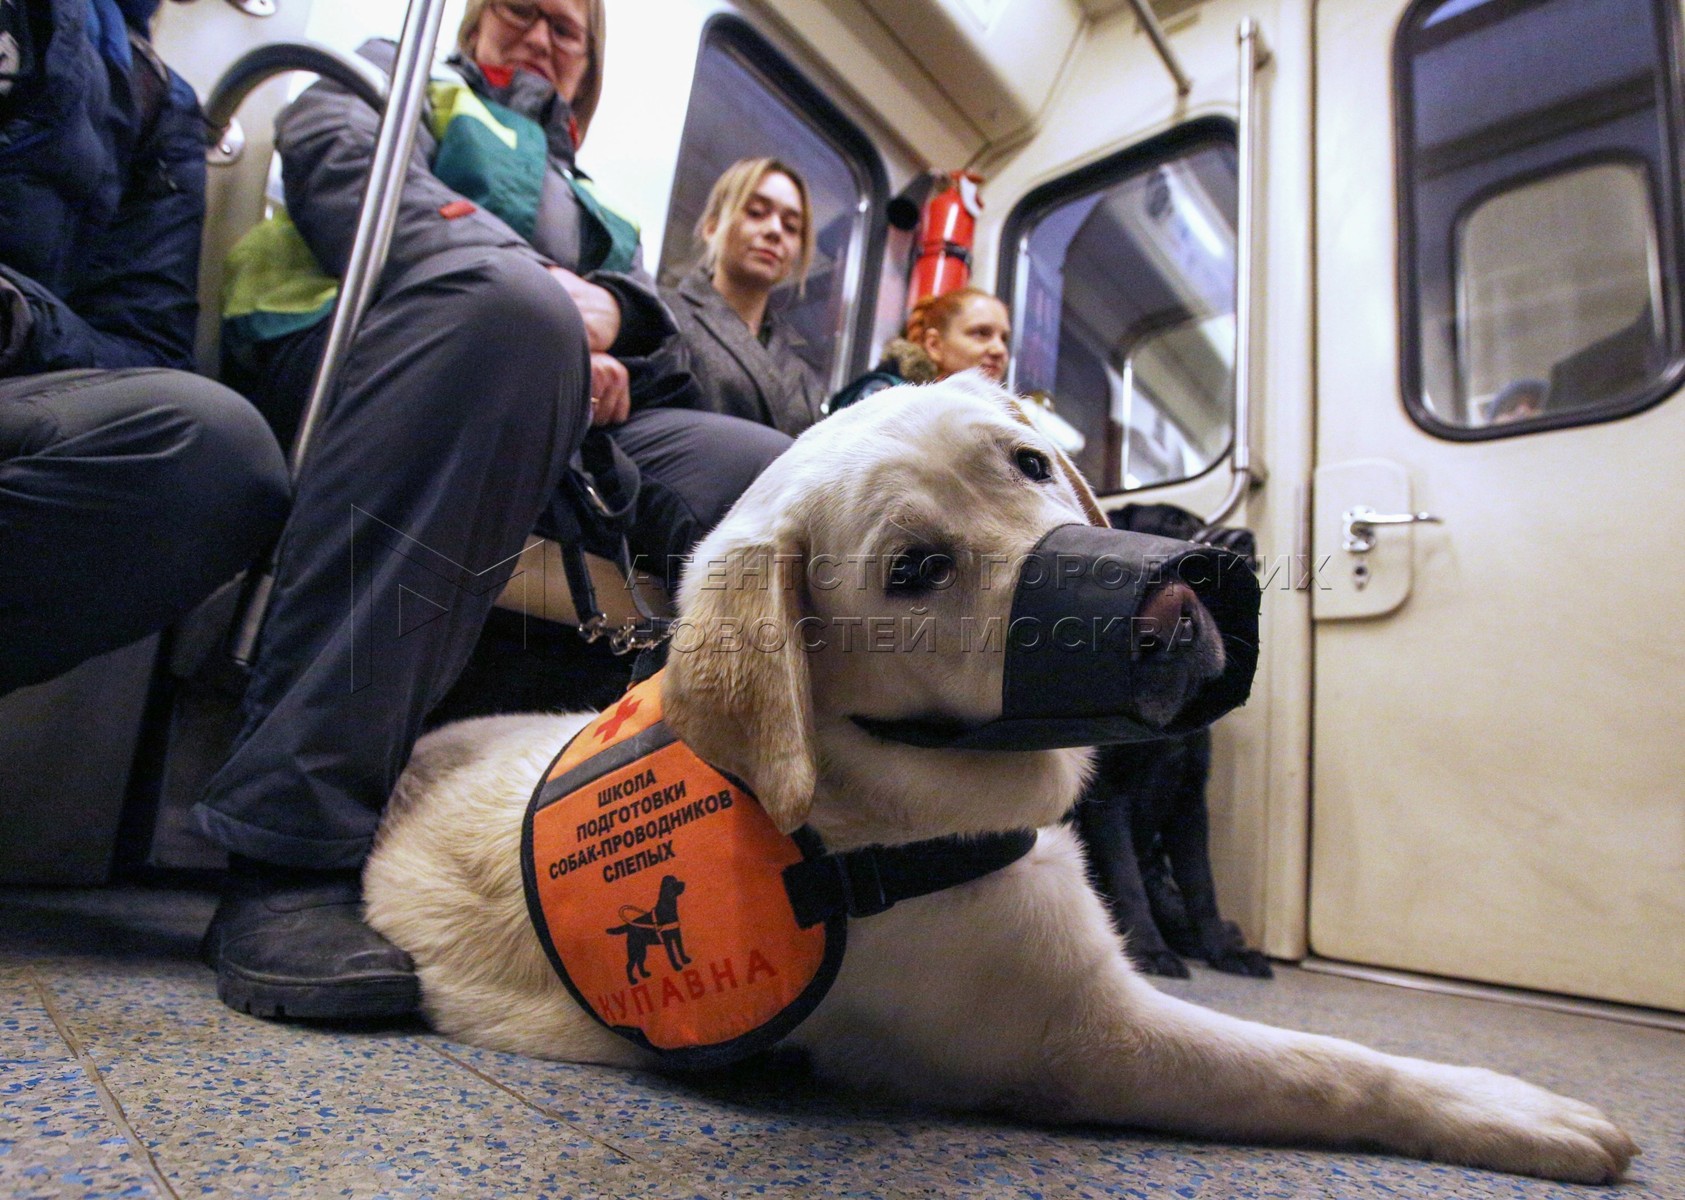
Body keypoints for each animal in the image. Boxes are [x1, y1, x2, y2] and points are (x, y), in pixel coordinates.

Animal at [362, 377, 1637, 1193]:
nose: (1174, 611)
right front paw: (1513, 1110)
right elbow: (1324, 1065)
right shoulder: (1082, 1036)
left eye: (1028, 464)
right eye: (913, 569)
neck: (883, 809)